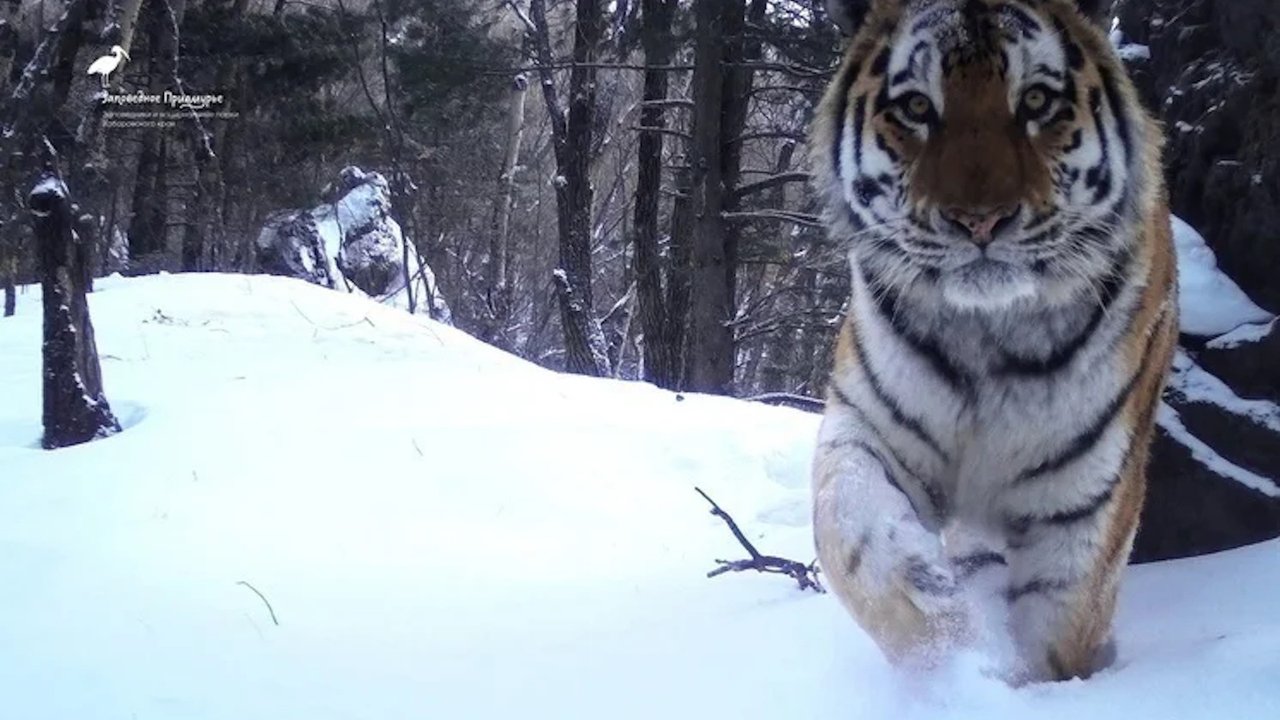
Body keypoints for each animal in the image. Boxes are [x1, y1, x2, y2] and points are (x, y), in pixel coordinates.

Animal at [808, 0, 1177, 676]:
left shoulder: (1081, 499)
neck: (987, 334)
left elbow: (1056, 624)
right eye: (917, 106)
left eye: (1035, 100)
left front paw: (1015, 676)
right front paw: (939, 626)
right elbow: (848, 521)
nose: (979, 220)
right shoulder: (870, 423)